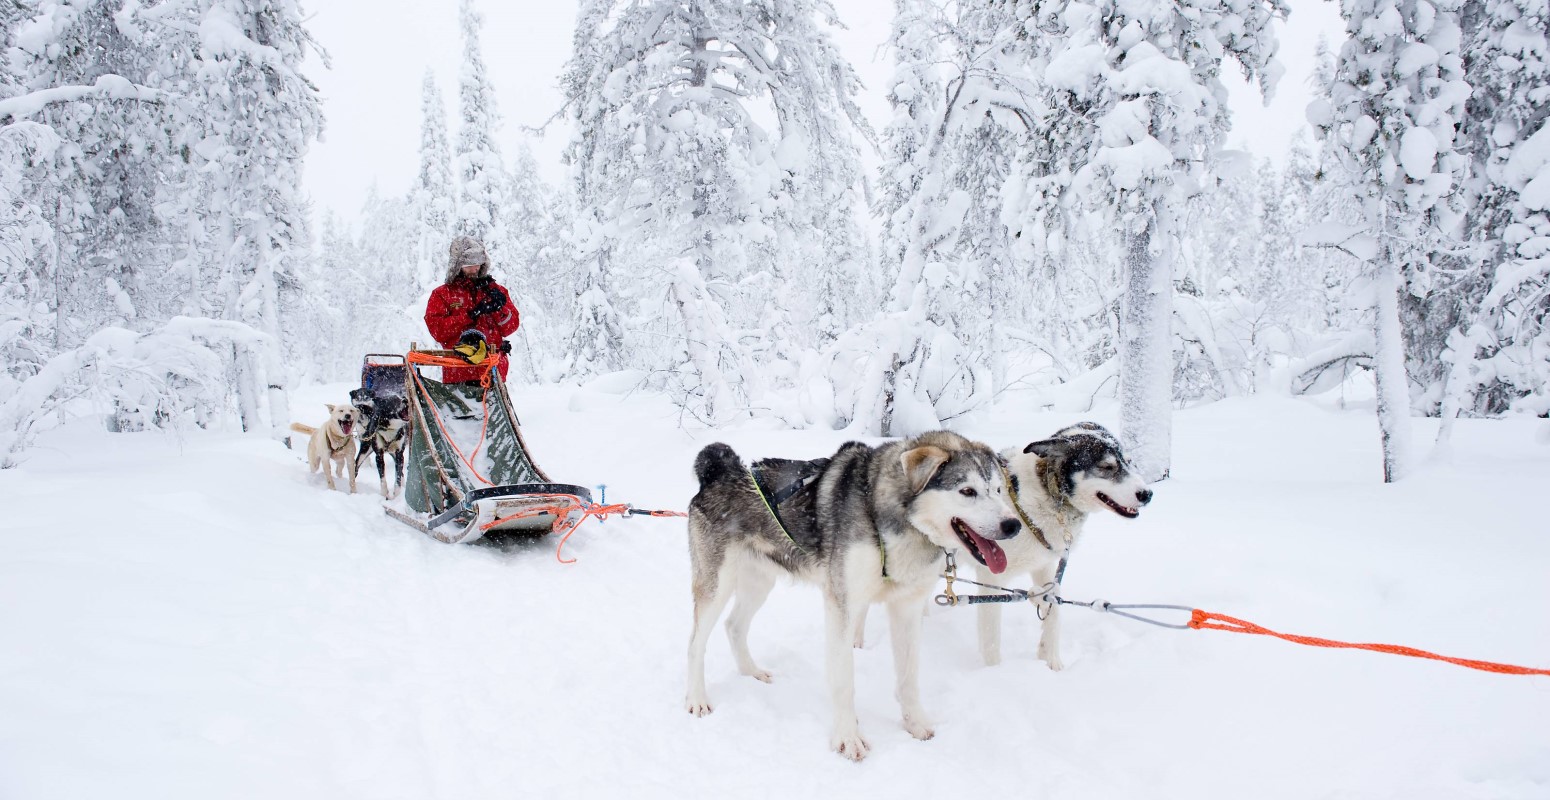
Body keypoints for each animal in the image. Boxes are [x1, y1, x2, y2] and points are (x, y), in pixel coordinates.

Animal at [685, 431, 1022, 762]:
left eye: (998, 489)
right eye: (967, 491)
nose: (1013, 524)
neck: (885, 514)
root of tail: (720, 471)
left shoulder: (907, 608)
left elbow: (909, 676)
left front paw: (915, 723)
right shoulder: (842, 605)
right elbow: (844, 680)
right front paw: (848, 738)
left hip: (759, 582)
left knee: (734, 626)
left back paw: (751, 672)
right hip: (717, 585)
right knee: (696, 643)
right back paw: (697, 698)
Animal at [979, 421, 1153, 672]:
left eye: (1129, 462)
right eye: (1107, 467)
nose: (1147, 494)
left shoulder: (1044, 565)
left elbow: (1053, 608)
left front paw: (1052, 660)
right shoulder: (990, 579)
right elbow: (991, 638)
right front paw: (995, 672)